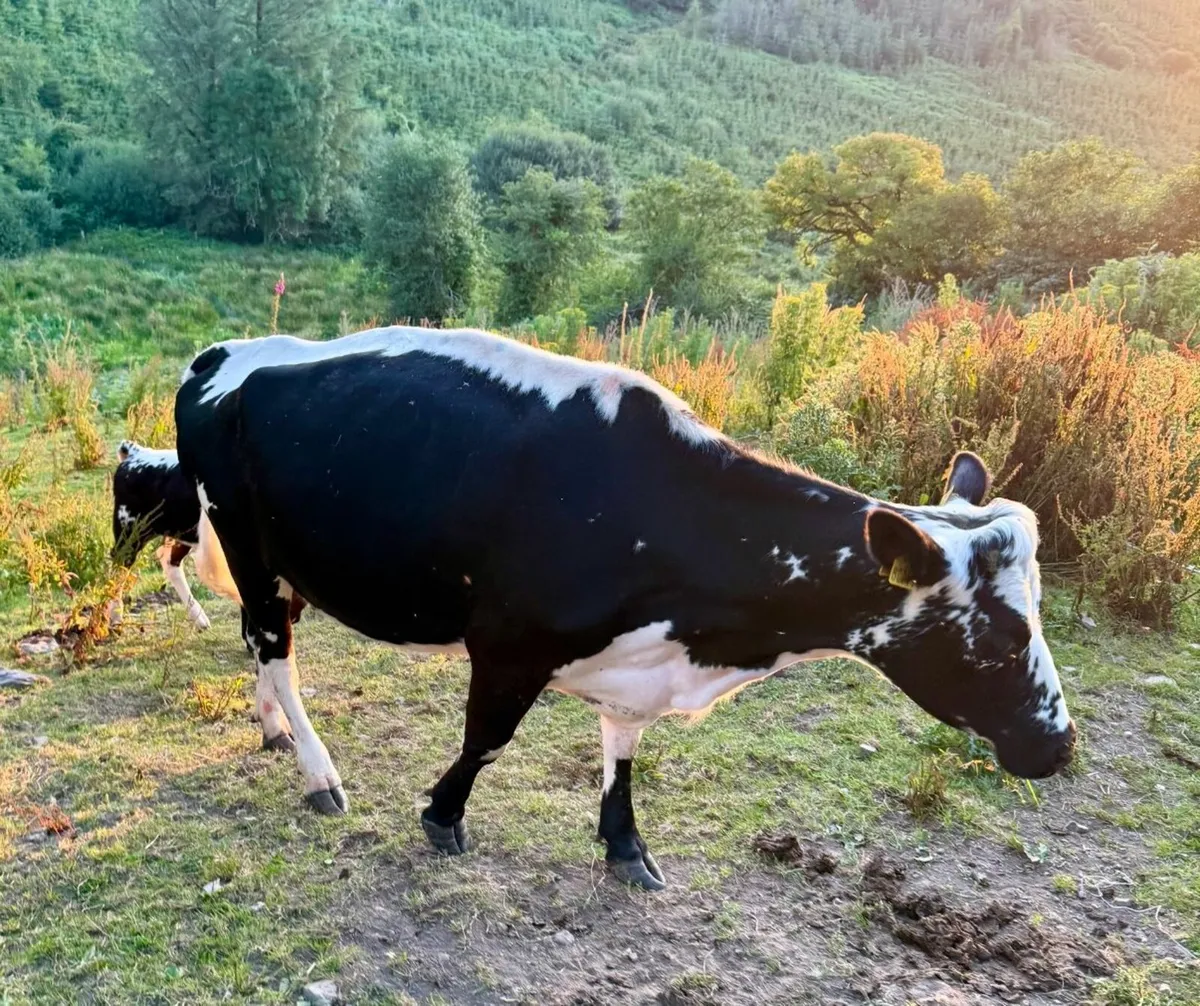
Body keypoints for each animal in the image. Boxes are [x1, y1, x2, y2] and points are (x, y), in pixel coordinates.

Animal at [111, 441, 305, 692]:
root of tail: (134, 453)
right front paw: (252, 641)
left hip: (184, 533)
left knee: (168, 560)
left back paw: (199, 618)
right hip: (129, 534)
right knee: (117, 572)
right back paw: (115, 620)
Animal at [175, 326, 1076, 891]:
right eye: (1000, 638)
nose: (1060, 744)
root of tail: (228, 355)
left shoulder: (640, 658)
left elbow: (623, 750)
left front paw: (624, 845)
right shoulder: (508, 643)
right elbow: (487, 740)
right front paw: (441, 816)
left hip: (282, 561)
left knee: (261, 645)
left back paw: (273, 729)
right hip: (247, 544)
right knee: (274, 646)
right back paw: (317, 771)